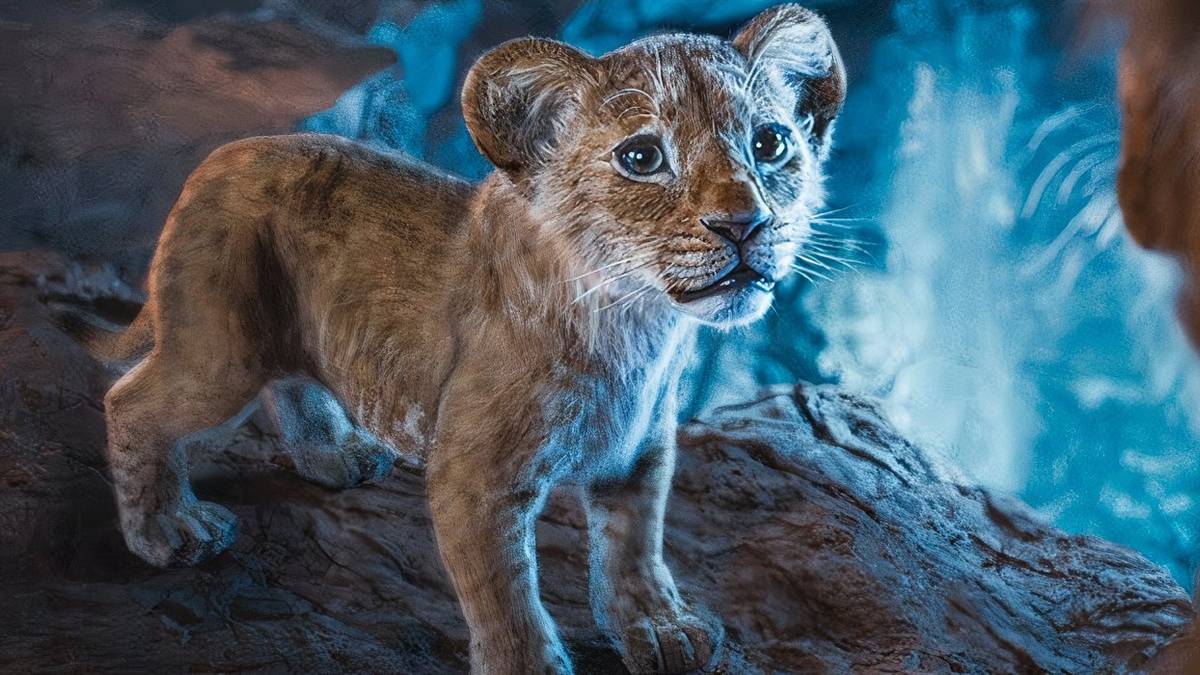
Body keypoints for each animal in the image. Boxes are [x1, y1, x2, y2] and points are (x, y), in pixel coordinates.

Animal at [100, 5, 846, 673]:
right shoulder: (474, 475)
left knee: (290, 380)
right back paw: (168, 531)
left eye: (771, 144)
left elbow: (634, 549)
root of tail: (219, 158)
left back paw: (336, 456)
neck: (639, 328)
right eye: (641, 157)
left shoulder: (640, 452)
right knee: (131, 401)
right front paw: (531, 665)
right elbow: (504, 593)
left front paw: (662, 628)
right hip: (221, 348)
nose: (745, 223)